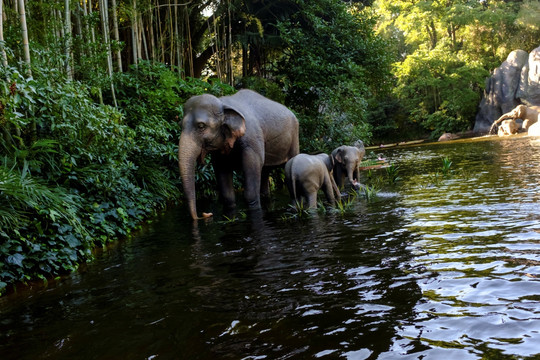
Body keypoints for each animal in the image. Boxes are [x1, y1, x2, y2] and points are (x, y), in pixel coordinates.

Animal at [178, 90, 300, 219]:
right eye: (180, 125)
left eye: (201, 126)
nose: (206, 214)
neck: (223, 103)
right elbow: (223, 179)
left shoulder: (252, 140)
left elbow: (253, 167)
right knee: (265, 171)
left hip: (294, 138)